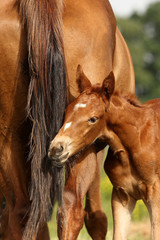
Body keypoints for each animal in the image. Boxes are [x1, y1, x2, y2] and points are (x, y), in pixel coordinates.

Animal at [48, 66, 160, 239]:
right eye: (66, 112)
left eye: (93, 119)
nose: (56, 148)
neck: (136, 140)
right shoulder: (122, 195)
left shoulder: (155, 195)